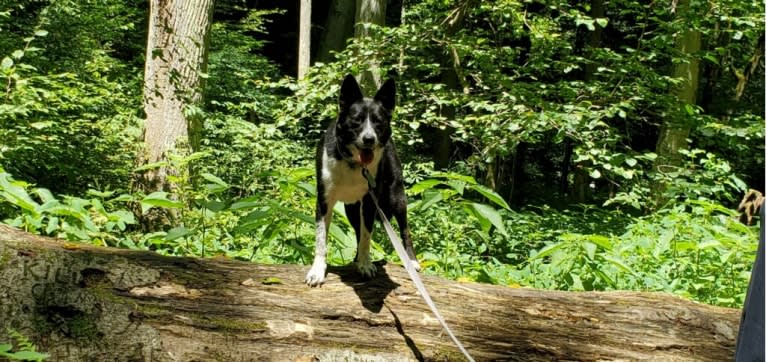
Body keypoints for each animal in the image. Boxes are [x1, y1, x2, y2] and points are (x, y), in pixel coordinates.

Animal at [304, 75, 420, 288]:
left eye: (378, 122)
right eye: (356, 120)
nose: (369, 139)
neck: (352, 163)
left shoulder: (369, 203)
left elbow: (367, 237)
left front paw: (366, 265)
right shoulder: (324, 202)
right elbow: (321, 238)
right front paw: (317, 271)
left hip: (396, 198)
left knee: (405, 231)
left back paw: (412, 261)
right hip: (351, 209)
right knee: (357, 232)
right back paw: (356, 260)